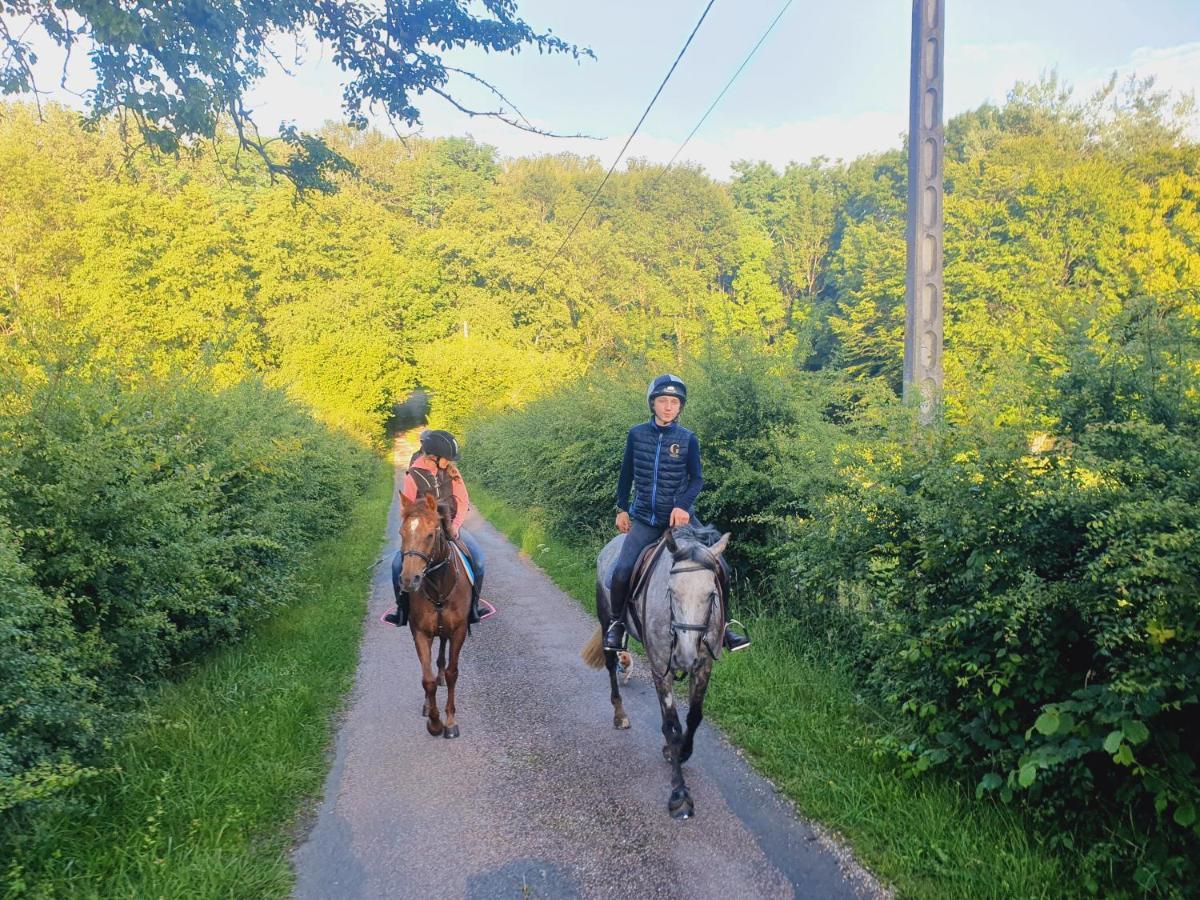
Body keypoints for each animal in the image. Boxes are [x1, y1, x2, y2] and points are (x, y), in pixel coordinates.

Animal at [393, 494, 468, 739]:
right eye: (401, 533)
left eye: (430, 535)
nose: (408, 580)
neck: (439, 589)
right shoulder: (420, 633)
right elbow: (427, 681)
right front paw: (435, 723)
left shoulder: (458, 631)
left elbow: (453, 673)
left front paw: (450, 722)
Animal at [580, 525, 729, 820]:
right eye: (670, 591)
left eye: (712, 594)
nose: (685, 657)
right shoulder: (660, 666)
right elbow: (672, 725)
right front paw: (680, 794)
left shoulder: (704, 666)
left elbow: (693, 717)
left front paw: (681, 752)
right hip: (606, 622)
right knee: (612, 667)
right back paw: (620, 715)